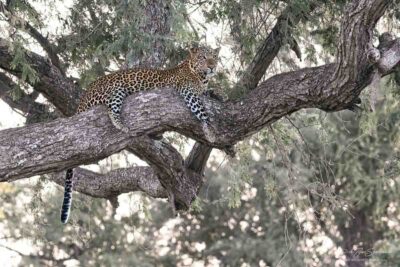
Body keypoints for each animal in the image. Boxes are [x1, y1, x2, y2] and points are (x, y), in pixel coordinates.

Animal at [61, 45, 220, 224]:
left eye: (214, 57)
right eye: (203, 57)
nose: (212, 66)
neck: (199, 75)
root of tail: (82, 99)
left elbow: (209, 93)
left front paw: (217, 93)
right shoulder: (188, 91)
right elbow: (201, 110)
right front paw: (210, 128)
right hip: (116, 89)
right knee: (111, 111)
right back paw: (124, 126)